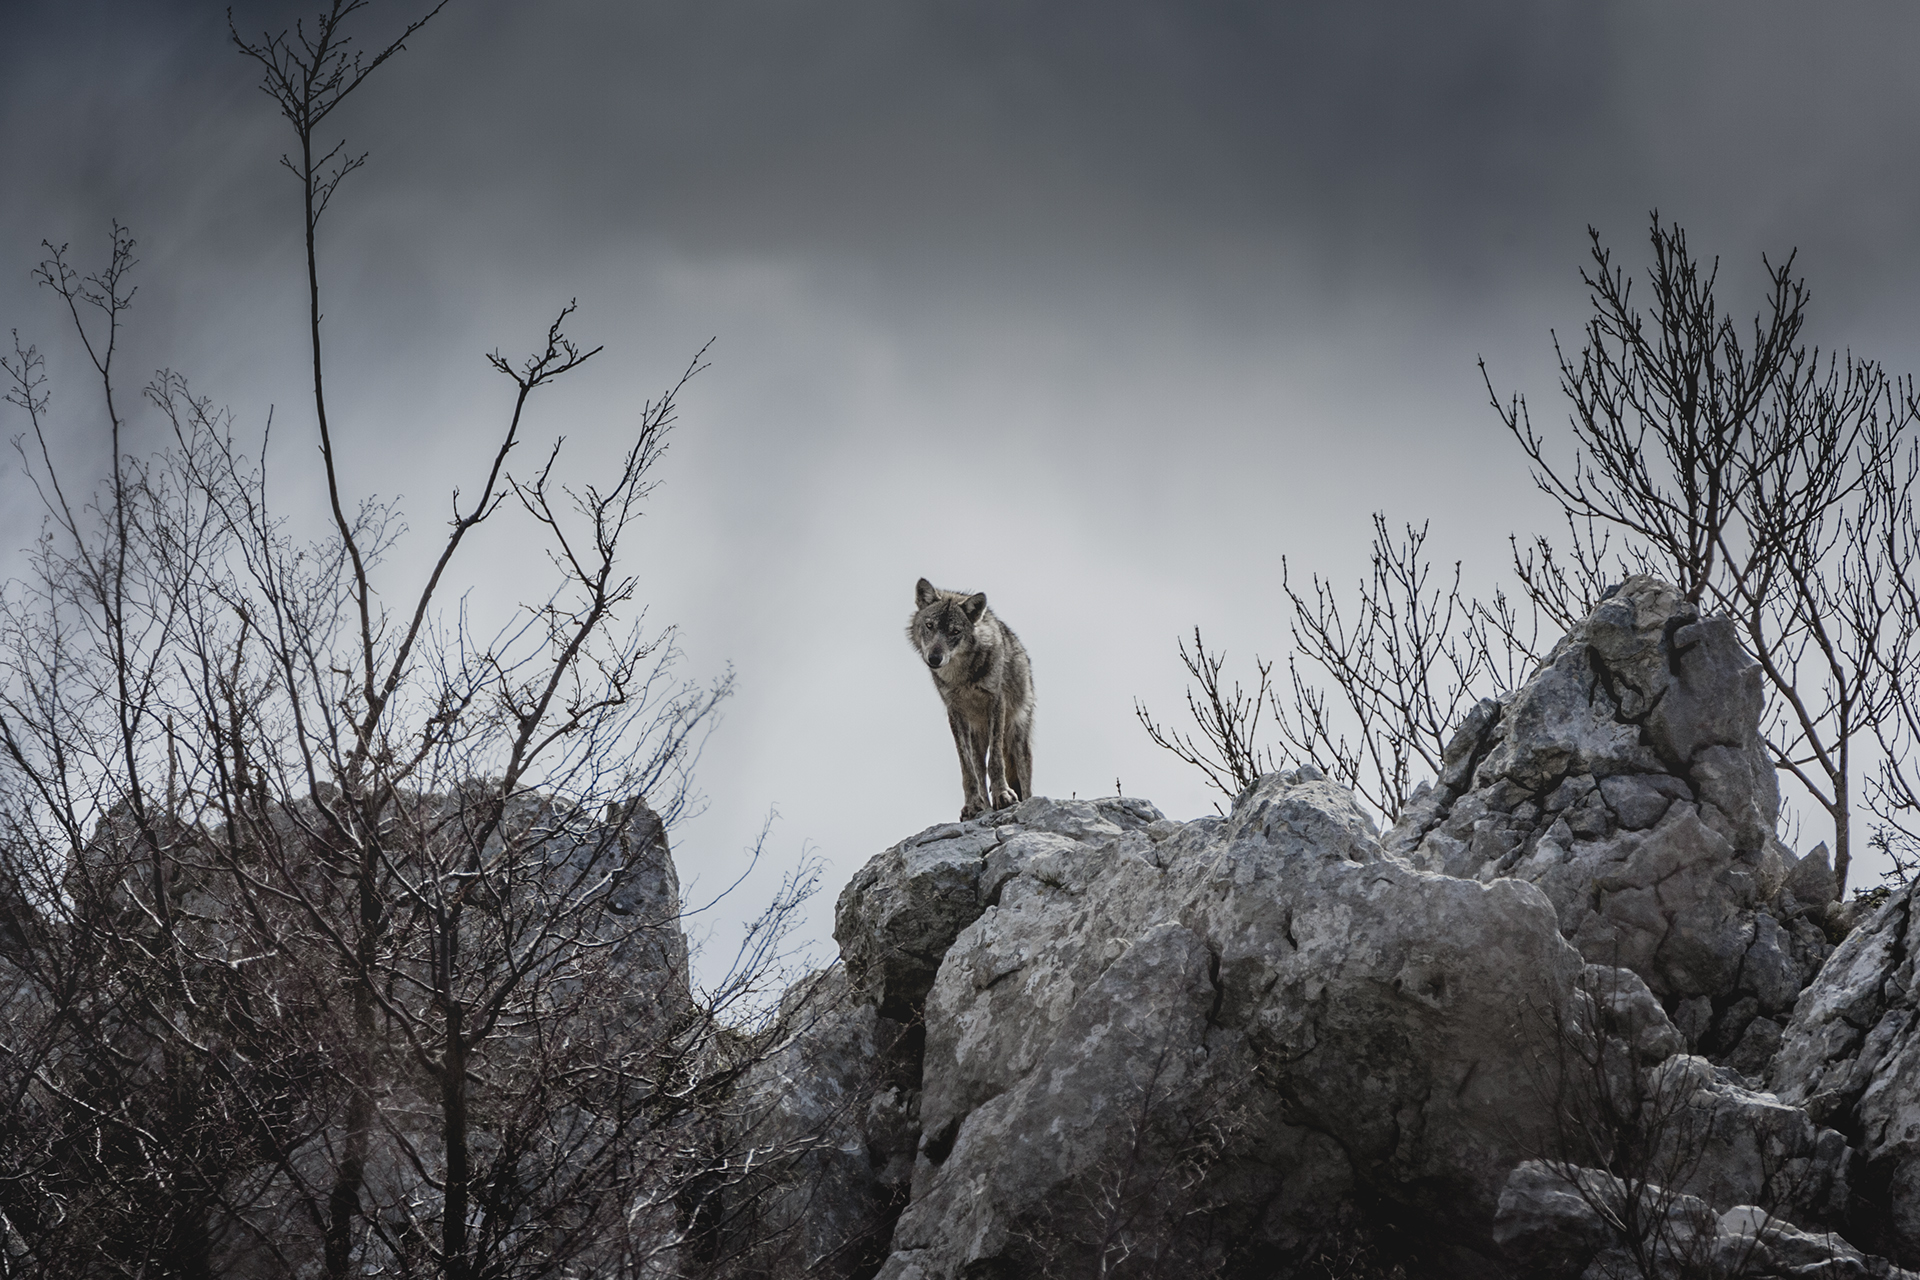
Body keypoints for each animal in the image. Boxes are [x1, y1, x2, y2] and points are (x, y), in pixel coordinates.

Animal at [907, 578, 1035, 820]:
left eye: (955, 631)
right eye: (930, 626)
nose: (935, 658)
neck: (962, 676)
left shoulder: (996, 702)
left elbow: (995, 760)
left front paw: (1003, 795)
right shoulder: (955, 712)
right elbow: (967, 768)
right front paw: (973, 805)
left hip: (1017, 738)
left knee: (1025, 782)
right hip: (977, 740)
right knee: (978, 767)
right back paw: (984, 805)